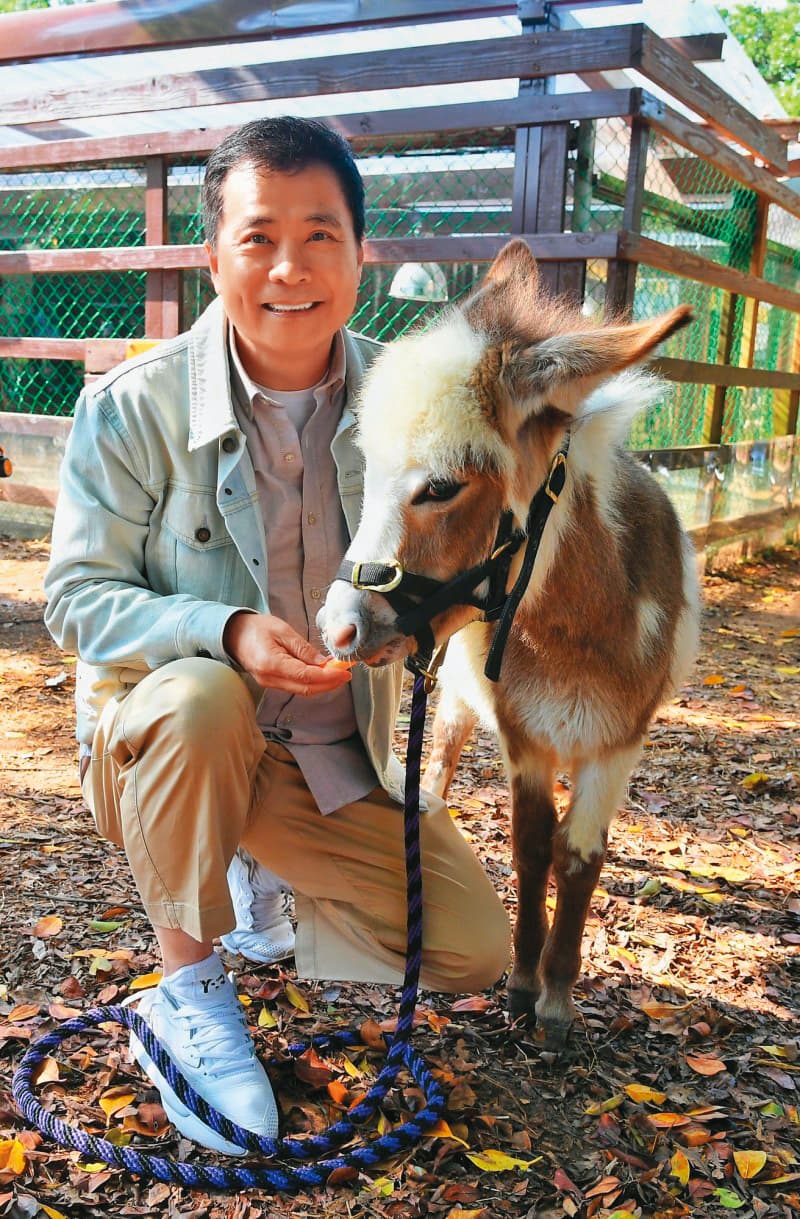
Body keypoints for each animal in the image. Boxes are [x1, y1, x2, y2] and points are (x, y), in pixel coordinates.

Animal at [319, 240, 701, 1047]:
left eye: (440, 487)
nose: (337, 628)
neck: (575, 633)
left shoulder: (618, 743)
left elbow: (578, 856)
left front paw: (556, 1001)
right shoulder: (525, 736)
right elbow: (531, 845)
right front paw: (524, 985)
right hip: (458, 702)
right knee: (443, 757)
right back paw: (428, 807)